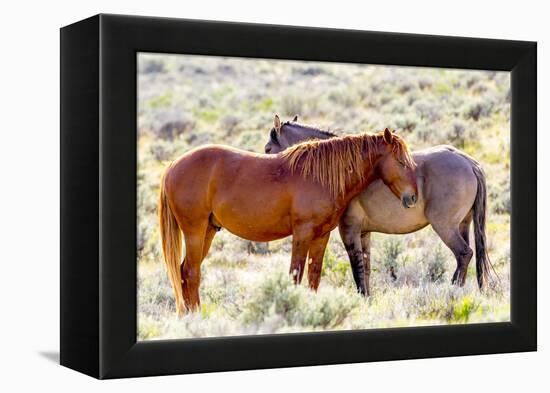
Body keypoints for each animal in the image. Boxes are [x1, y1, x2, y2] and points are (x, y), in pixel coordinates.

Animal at [160, 116, 418, 316]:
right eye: (400, 161)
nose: (413, 197)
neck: (319, 175)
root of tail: (173, 165)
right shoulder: (302, 233)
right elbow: (296, 274)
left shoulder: (321, 236)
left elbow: (314, 276)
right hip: (194, 232)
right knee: (191, 272)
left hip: (208, 231)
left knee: (185, 272)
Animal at [266, 115, 494, 296]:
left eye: (268, 148)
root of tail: (468, 162)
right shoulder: (364, 233)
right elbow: (365, 269)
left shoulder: (348, 230)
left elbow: (357, 269)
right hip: (463, 225)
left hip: (445, 227)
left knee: (464, 254)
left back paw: (452, 290)